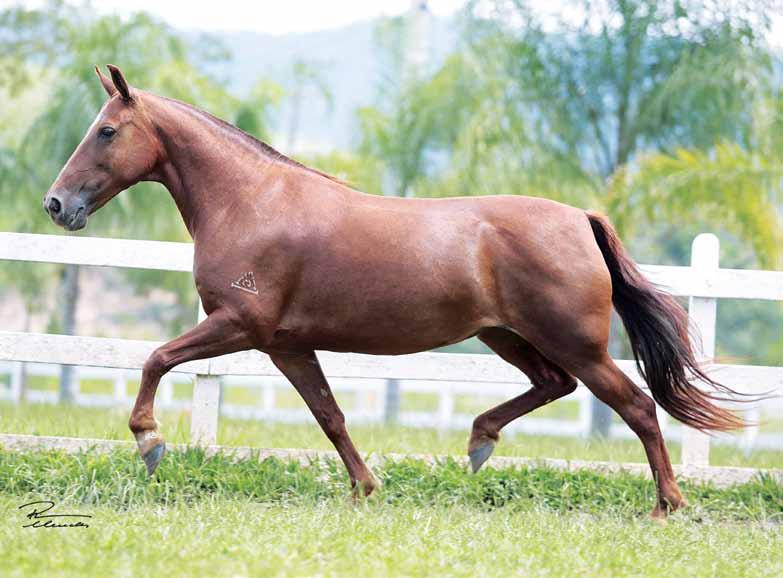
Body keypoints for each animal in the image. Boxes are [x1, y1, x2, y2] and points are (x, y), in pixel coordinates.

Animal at [43, 66, 740, 516]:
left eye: (107, 131)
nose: (57, 204)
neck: (251, 202)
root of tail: (581, 218)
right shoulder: (285, 345)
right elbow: (330, 415)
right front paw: (366, 488)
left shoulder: (239, 325)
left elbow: (156, 358)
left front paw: (150, 442)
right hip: (506, 335)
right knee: (554, 386)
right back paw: (480, 441)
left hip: (575, 343)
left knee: (636, 406)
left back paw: (668, 504)